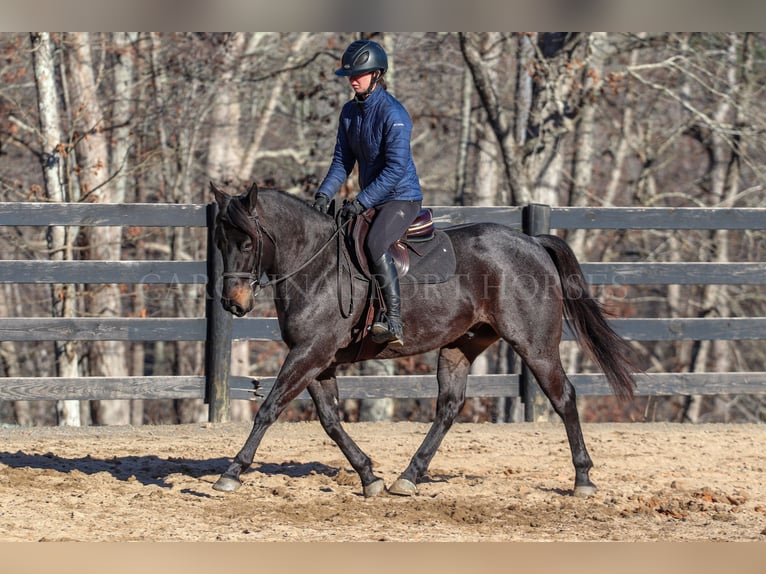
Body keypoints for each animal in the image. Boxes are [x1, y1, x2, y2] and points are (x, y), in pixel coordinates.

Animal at [208, 181, 636, 500]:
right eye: (221, 244)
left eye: (246, 243)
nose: (233, 303)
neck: (316, 264)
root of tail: (533, 243)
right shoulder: (316, 358)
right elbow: (330, 420)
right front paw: (369, 476)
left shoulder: (310, 353)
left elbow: (269, 408)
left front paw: (232, 471)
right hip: (461, 345)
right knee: (449, 407)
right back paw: (409, 476)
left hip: (535, 345)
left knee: (563, 397)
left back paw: (583, 479)